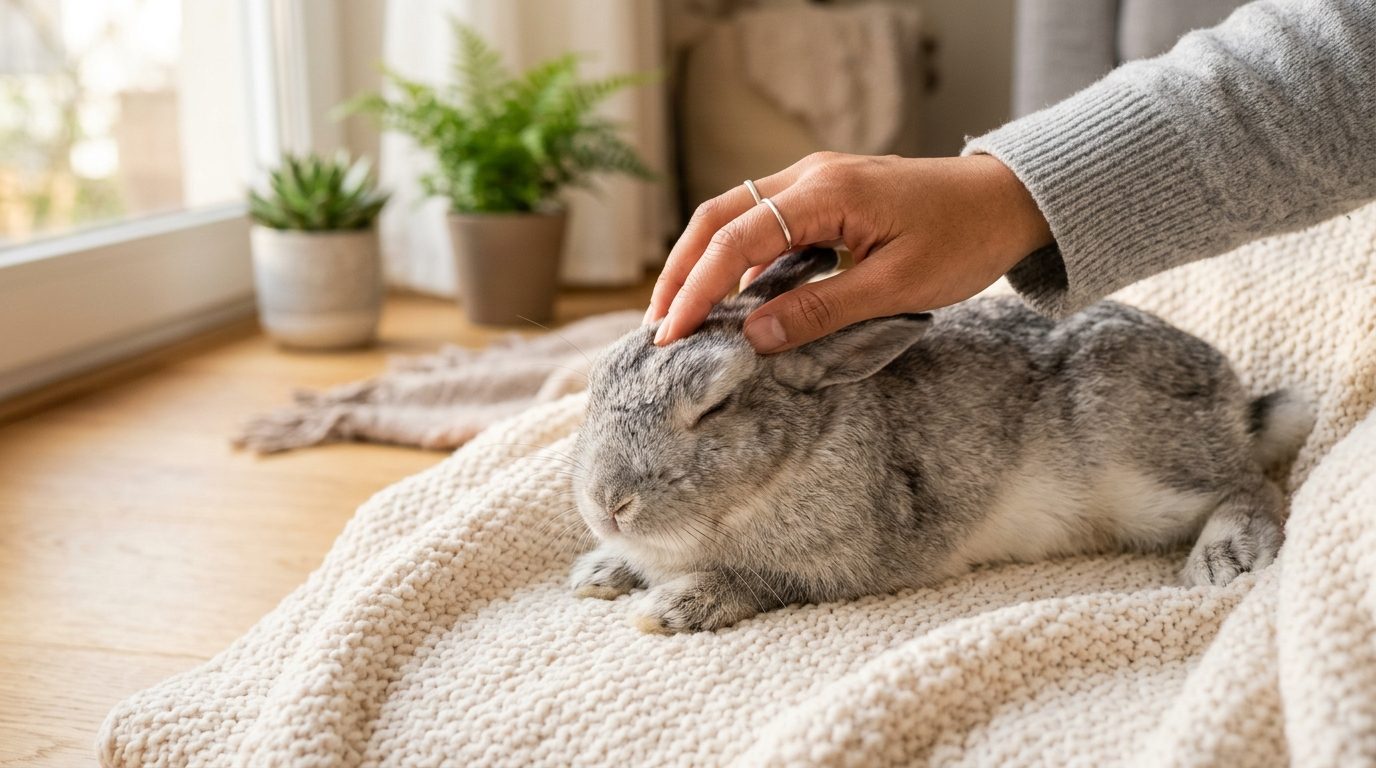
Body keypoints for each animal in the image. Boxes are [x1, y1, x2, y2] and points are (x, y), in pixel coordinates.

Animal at [568, 248, 1313, 634]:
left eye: (716, 404)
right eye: (597, 377)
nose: (607, 503)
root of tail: (1235, 403)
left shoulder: (835, 569)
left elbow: (754, 580)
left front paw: (668, 609)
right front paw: (598, 574)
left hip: (1141, 471)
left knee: (1252, 485)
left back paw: (1224, 558)